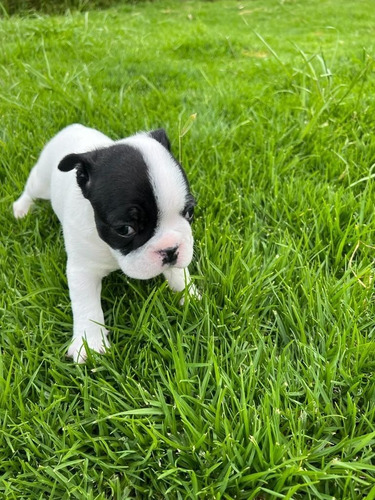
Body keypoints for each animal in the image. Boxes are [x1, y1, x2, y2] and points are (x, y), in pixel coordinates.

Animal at [13, 123, 198, 362]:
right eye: (125, 229)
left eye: (190, 212)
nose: (170, 250)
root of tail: (73, 127)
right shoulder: (83, 270)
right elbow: (87, 305)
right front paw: (89, 343)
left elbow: (178, 274)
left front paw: (190, 296)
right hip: (42, 180)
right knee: (30, 190)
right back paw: (21, 209)